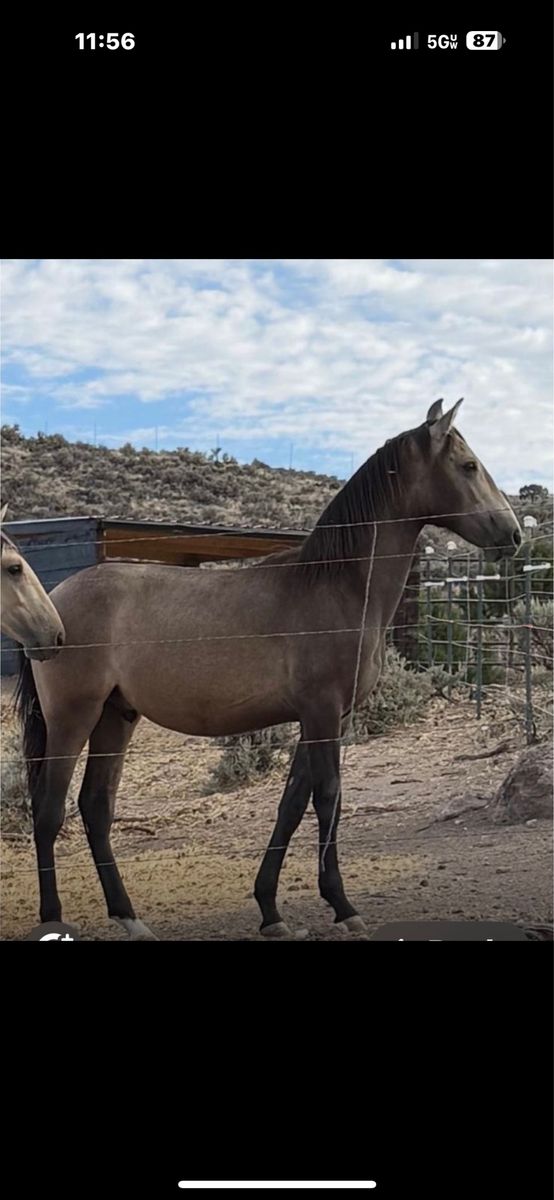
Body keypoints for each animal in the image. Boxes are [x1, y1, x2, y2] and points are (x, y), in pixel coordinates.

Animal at [15, 400, 522, 939]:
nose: (512, 534)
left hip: (116, 716)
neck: (336, 585)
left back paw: (130, 917)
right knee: (48, 811)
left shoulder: (320, 719)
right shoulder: (323, 714)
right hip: (73, 718)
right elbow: (328, 799)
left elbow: (291, 805)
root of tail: (51, 607)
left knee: (95, 807)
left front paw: (270, 910)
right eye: (469, 466)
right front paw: (342, 905)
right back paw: (54, 918)